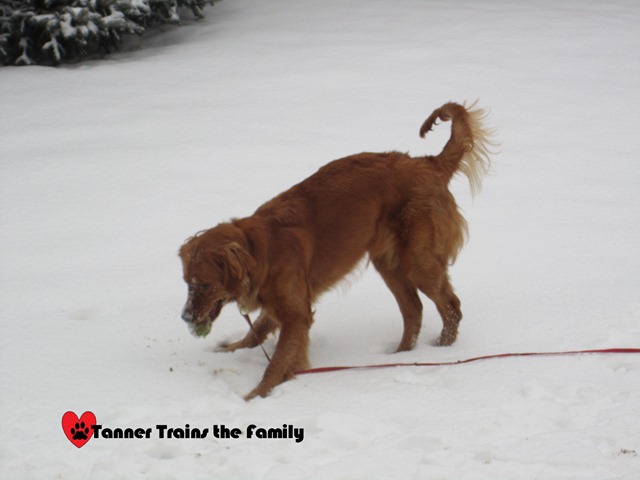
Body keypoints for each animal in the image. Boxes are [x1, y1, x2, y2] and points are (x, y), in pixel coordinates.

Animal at [179, 101, 494, 400]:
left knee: (451, 307)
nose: (186, 318)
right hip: (388, 263)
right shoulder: (284, 302)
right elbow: (258, 329)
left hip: (417, 261)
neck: (260, 249)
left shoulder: (297, 314)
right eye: (187, 284)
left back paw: (440, 351)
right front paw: (232, 349)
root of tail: (428, 164)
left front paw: (256, 395)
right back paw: (401, 355)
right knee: (414, 310)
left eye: (205, 285)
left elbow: (277, 361)